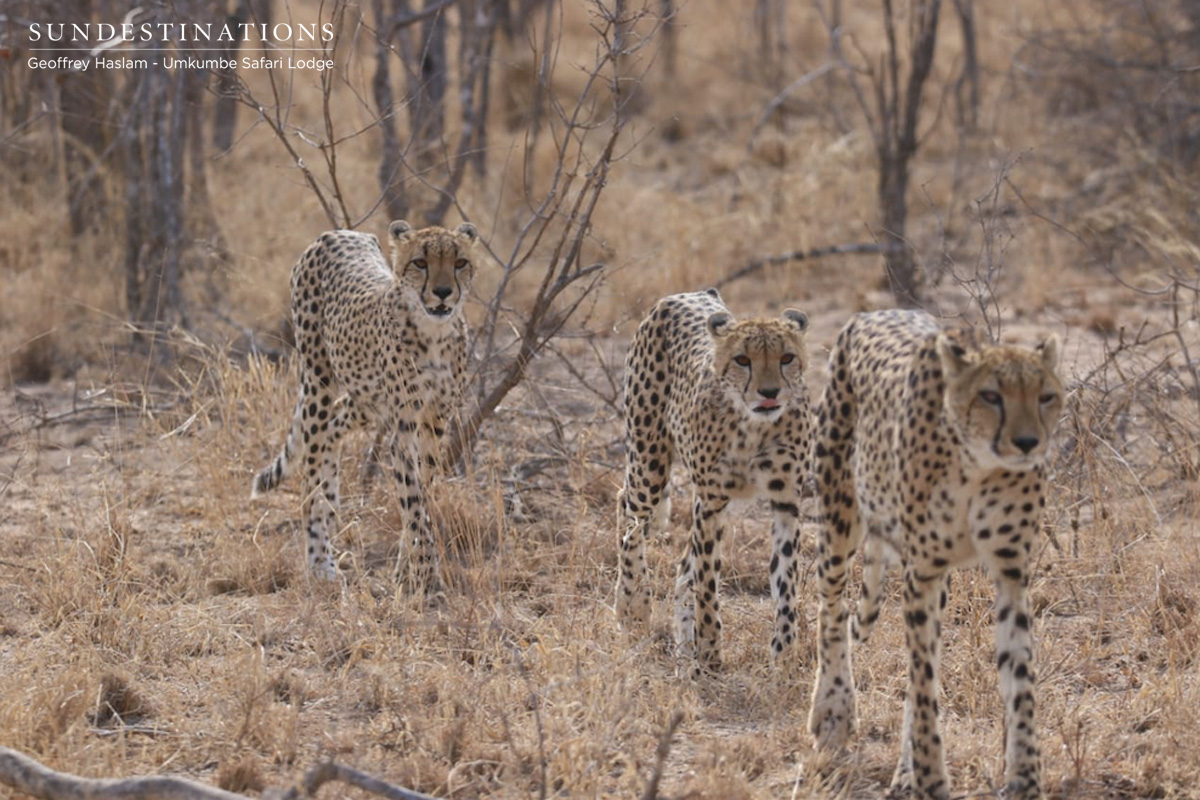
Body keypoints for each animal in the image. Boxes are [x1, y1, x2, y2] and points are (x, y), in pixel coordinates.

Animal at [251, 220, 482, 589]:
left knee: (335, 423)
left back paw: (331, 501)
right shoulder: (404, 427)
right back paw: (320, 560)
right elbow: (413, 504)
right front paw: (427, 580)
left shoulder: (435, 421)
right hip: (317, 381)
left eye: (460, 262)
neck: (433, 333)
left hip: (366, 395)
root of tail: (340, 233)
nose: (444, 292)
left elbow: (422, 497)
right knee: (311, 469)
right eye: (420, 263)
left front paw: (407, 571)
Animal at [616, 289, 813, 674]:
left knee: (682, 565)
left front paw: (783, 658)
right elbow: (707, 582)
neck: (755, 426)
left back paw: (681, 644)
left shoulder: (786, 503)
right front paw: (709, 654)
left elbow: (786, 586)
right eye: (742, 360)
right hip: (649, 460)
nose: (770, 393)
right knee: (630, 518)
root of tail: (687, 294)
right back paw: (634, 608)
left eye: (787, 358)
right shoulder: (710, 502)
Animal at [807, 309, 1064, 800]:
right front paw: (930, 776)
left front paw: (1024, 775)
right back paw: (834, 711)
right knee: (832, 611)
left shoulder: (1010, 571)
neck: (977, 463)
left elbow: (1019, 679)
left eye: (1046, 397)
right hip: (840, 512)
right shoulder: (921, 572)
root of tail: (869, 314)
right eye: (990, 396)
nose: (1027, 442)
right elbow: (923, 683)